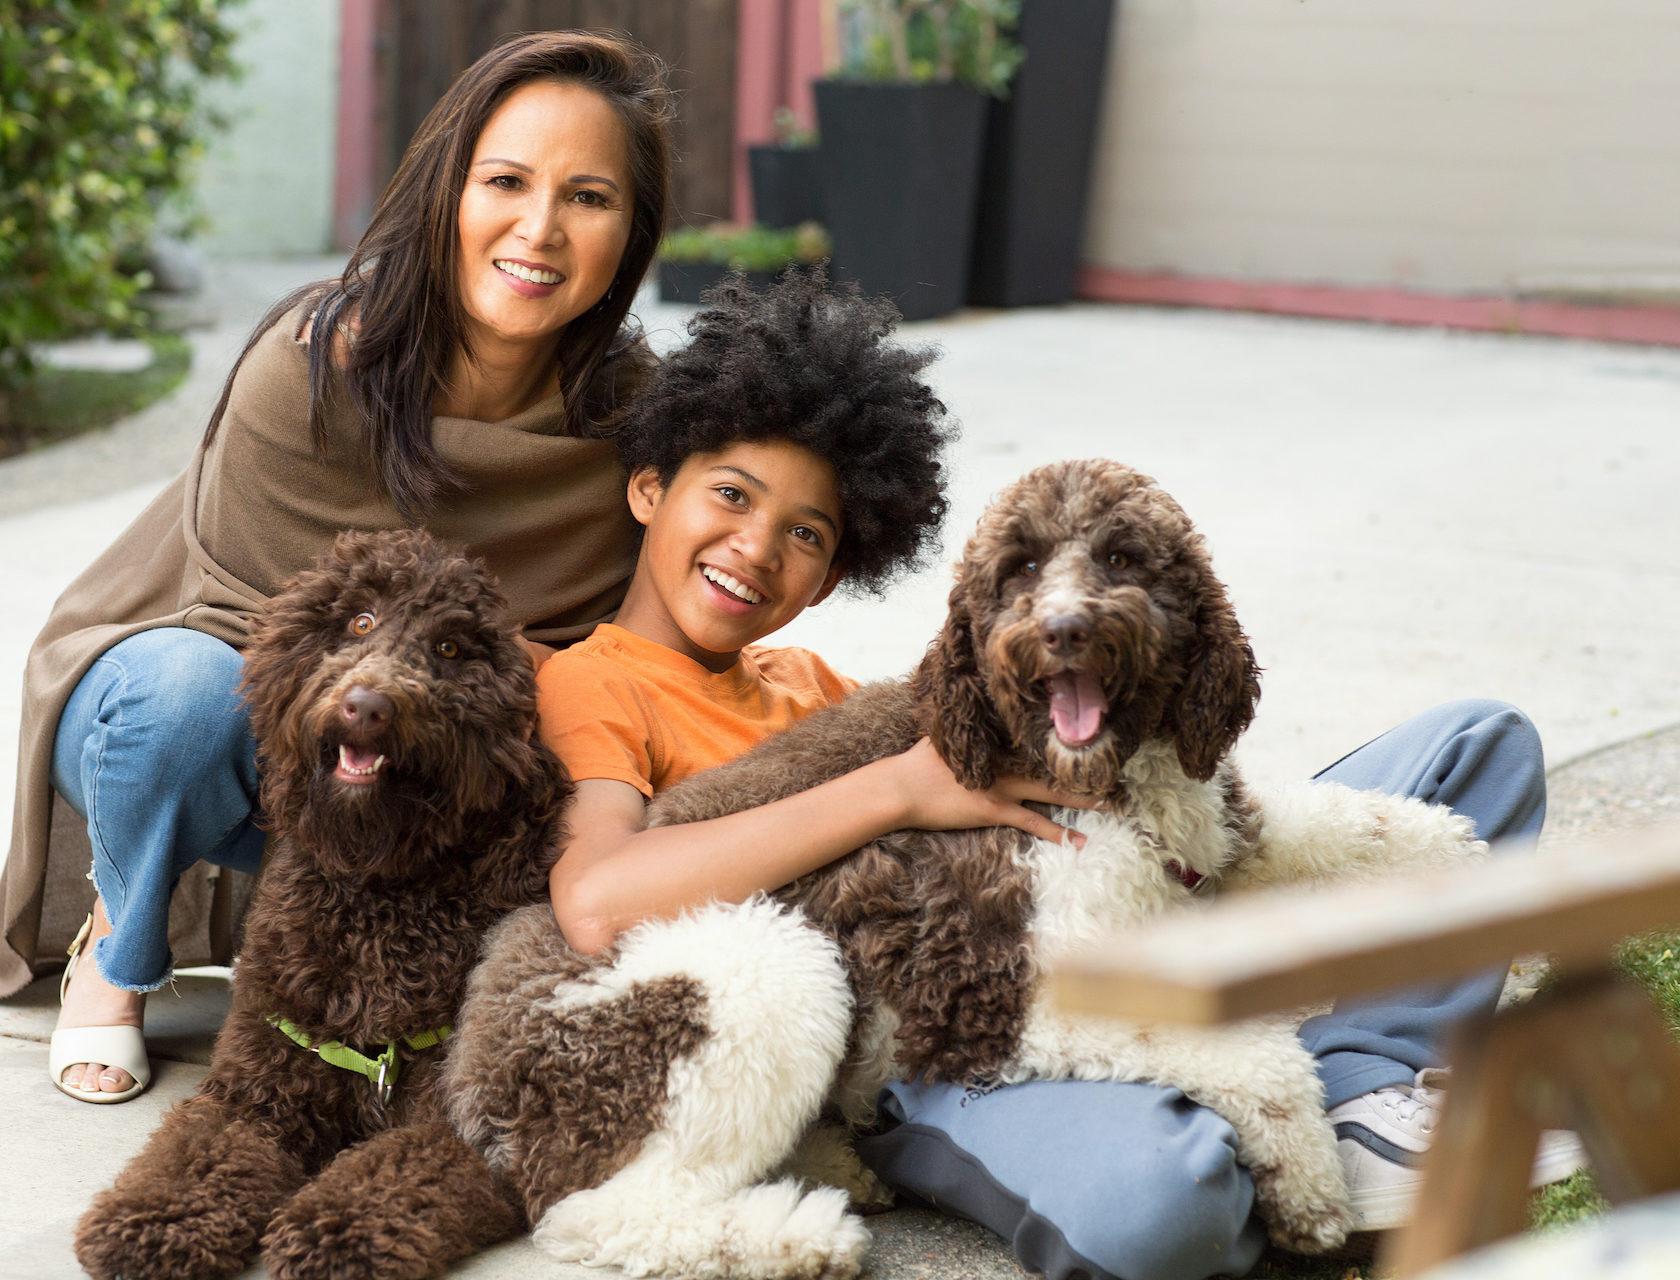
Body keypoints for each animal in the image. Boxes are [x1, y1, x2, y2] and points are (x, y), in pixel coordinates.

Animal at [72, 527, 567, 1276]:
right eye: (358, 622)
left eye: (451, 649)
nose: (367, 703)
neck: (375, 896)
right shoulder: (253, 1090)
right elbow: (197, 1152)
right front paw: (153, 1220)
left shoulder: (465, 1127)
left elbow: (392, 1170)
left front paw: (335, 1231)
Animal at [446, 460, 1485, 1276]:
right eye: (1018, 568)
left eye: (1122, 557)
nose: (1063, 629)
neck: (1097, 783)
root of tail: (469, 1073)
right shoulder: (1002, 987)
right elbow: (1256, 1052)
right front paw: (1308, 1182)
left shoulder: (1213, 830)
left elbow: (1332, 823)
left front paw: (1454, 849)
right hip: (764, 965)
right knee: (594, 1212)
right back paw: (799, 1234)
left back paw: (832, 1165)